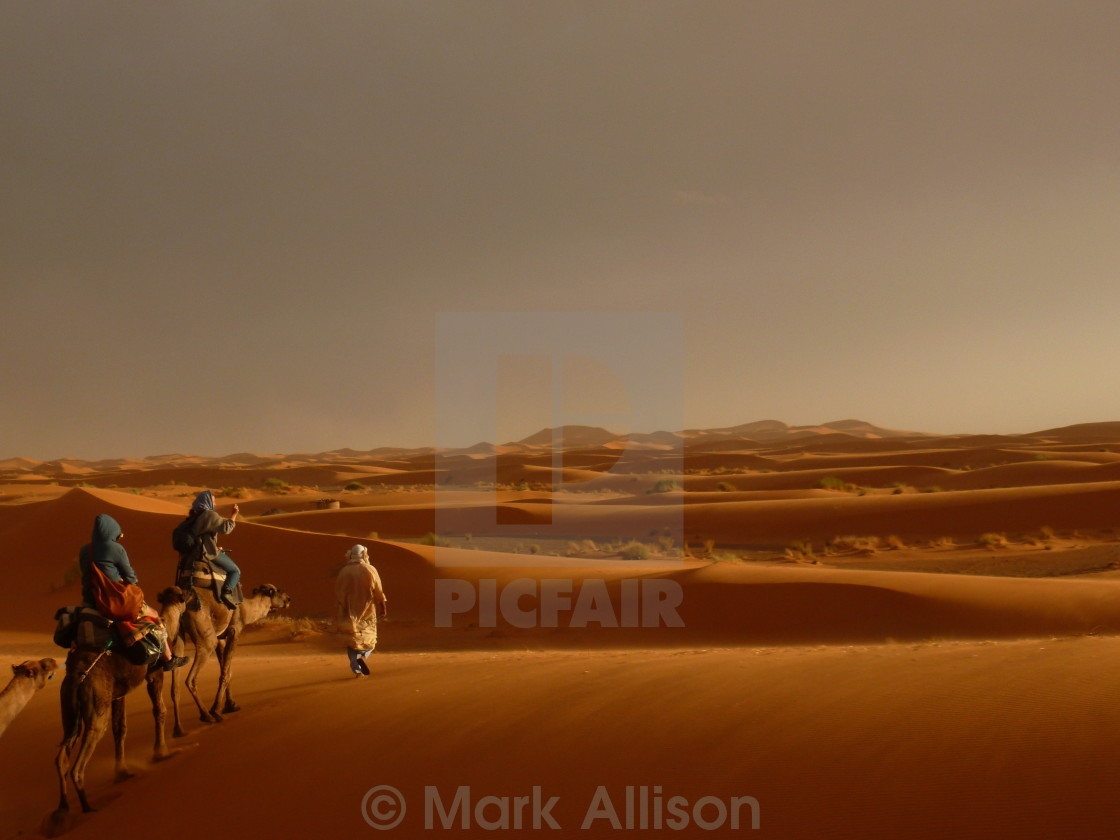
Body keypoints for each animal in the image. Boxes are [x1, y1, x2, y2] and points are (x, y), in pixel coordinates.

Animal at [45, 586, 185, 837]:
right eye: (184, 594)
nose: (192, 596)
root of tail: (78, 676)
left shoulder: (118, 694)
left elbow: (120, 728)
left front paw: (122, 771)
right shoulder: (154, 674)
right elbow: (159, 710)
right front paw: (161, 752)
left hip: (69, 709)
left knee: (62, 756)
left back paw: (62, 810)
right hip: (96, 705)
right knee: (79, 762)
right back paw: (87, 807)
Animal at [164, 586, 291, 734]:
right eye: (278, 591)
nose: (289, 599)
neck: (246, 608)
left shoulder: (221, 638)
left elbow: (226, 670)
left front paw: (231, 705)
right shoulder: (234, 631)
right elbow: (225, 672)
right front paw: (216, 710)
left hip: (178, 635)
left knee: (175, 685)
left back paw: (179, 729)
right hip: (205, 636)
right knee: (191, 678)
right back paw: (207, 715)